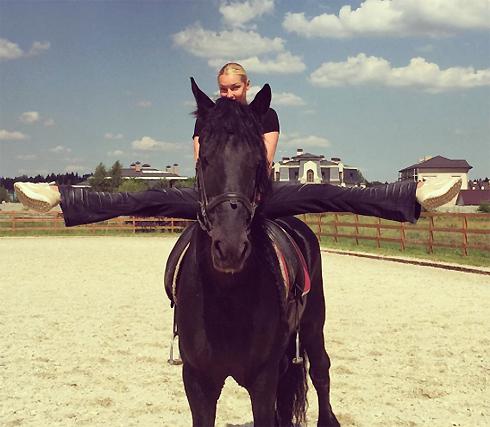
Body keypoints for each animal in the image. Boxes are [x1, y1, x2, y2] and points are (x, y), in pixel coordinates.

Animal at [171, 78, 340, 427]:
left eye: (258, 162)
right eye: (204, 160)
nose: (230, 247)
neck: (225, 297)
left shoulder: (262, 380)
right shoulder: (197, 381)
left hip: (313, 324)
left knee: (321, 371)